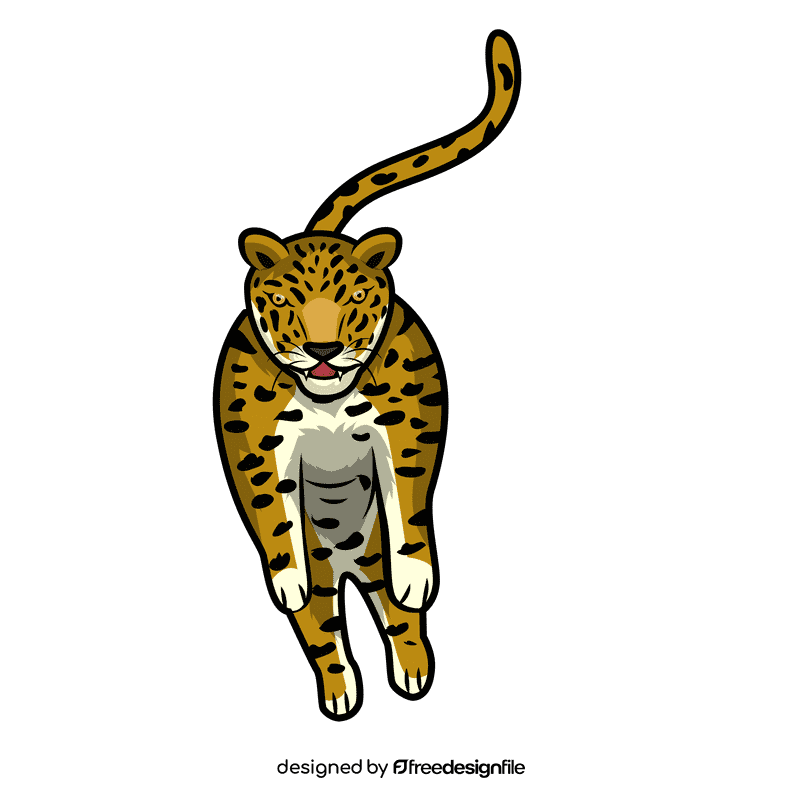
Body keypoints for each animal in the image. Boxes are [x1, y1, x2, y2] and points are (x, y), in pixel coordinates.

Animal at [213, 29, 521, 721]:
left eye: (353, 297)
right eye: (288, 300)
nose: (323, 346)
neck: (326, 398)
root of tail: (351, 563)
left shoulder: (409, 424)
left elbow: (409, 500)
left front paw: (418, 573)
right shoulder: (252, 441)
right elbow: (271, 513)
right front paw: (285, 577)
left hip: (374, 550)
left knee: (399, 616)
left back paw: (413, 667)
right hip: (328, 579)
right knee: (323, 627)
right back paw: (340, 689)